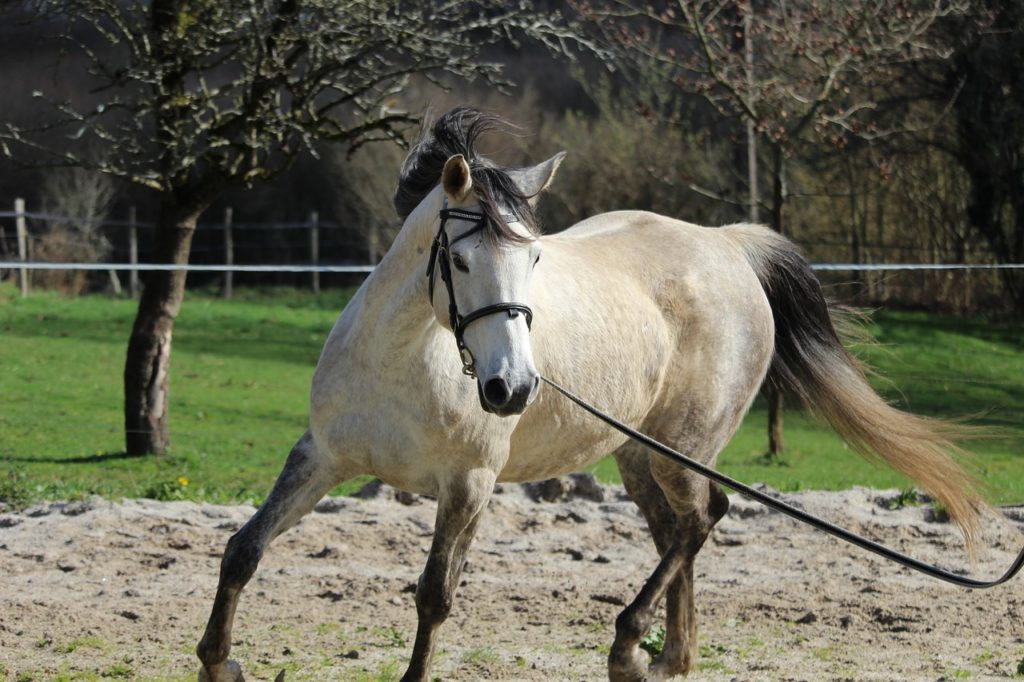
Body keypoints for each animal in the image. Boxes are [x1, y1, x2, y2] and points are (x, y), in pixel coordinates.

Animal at [196, 107, 984, 681]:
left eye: (535, 258)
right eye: (460, 259)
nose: (511, 388)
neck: (402, 362)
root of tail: (727, 245)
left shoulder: (468, 485)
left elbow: (434, 596)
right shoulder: (321, 457)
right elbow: (242, 550)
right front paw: (217, 662)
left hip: (682, 446)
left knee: (701, 520)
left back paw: (628, 646)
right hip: (639, 455)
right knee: (679, 529)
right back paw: (670, 660)